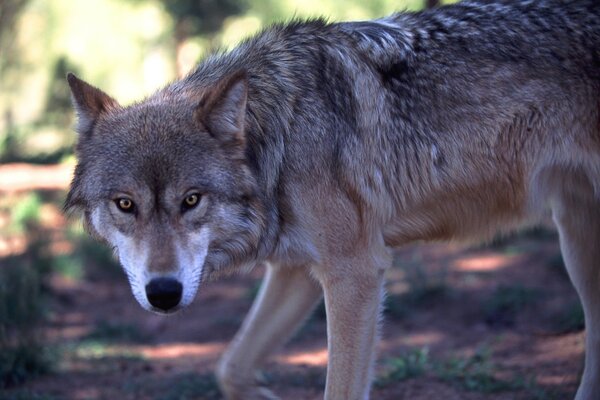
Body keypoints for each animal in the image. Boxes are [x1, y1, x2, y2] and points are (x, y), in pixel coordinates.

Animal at [64, 1, 600, 398]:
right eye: (125, 204)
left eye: (192, 200)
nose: (164, 293)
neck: (280, 135)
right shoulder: (296, 270)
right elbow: (230, 367)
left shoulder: (355, 272)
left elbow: (338, 387)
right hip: (578, 244)